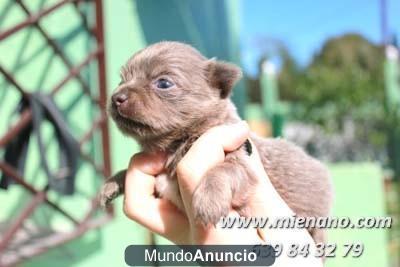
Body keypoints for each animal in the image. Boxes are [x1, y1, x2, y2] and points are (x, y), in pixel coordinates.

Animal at [100, 42, 334, 245]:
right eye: (121, 80)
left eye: (163, 83)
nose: (116, 97)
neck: (173, 144)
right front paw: (112, 183)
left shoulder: (241, 160)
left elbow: (222, 171)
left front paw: (208, 201)